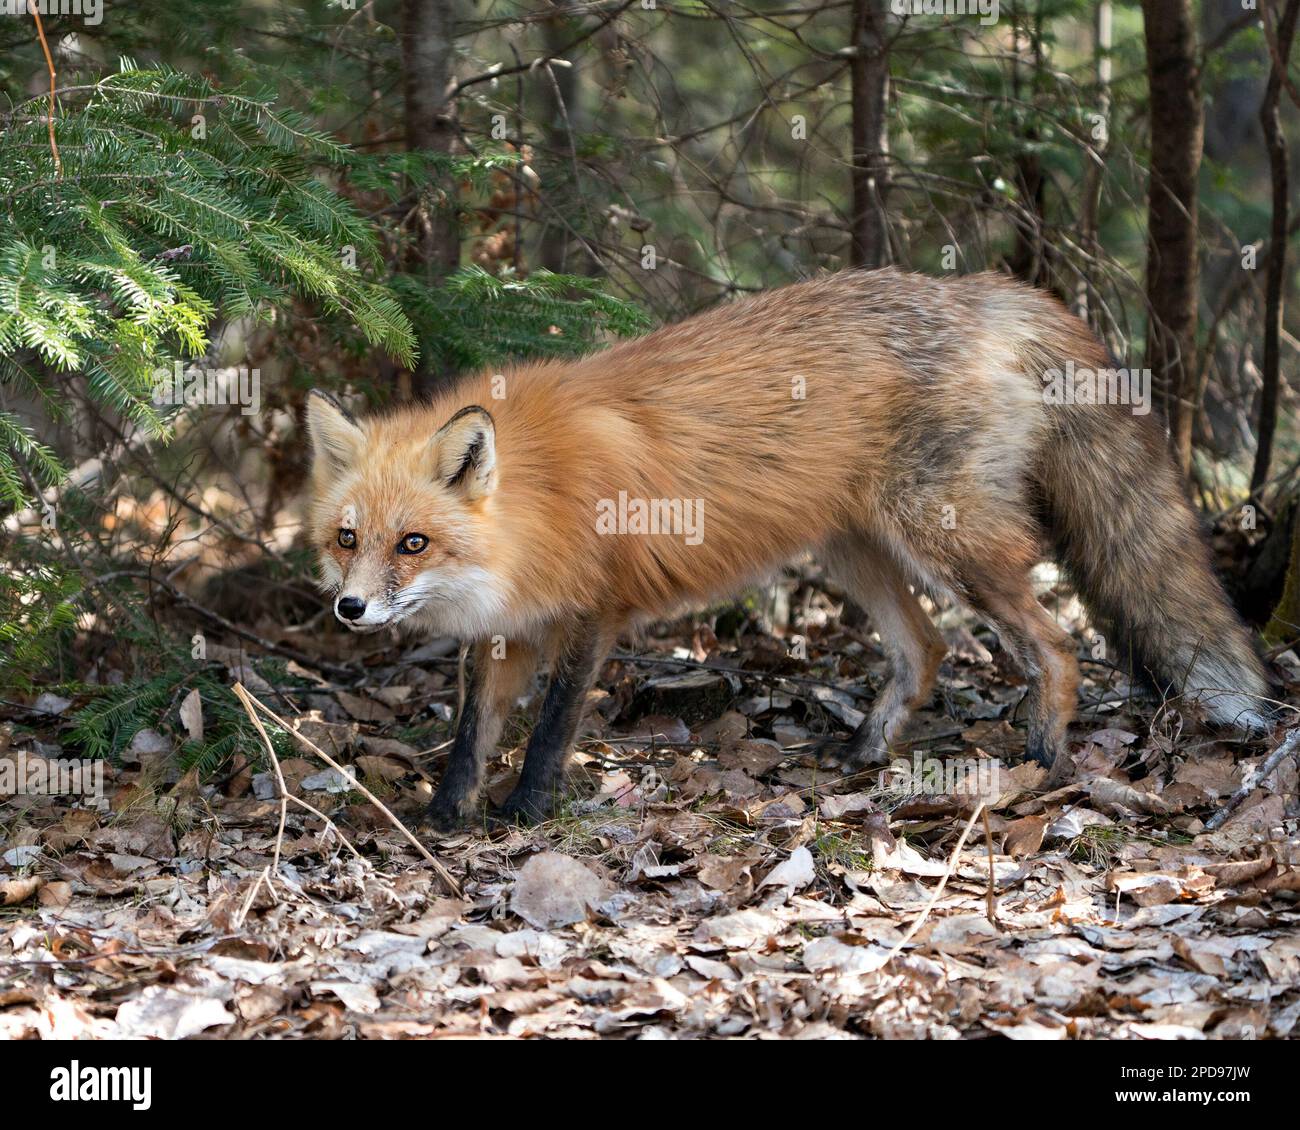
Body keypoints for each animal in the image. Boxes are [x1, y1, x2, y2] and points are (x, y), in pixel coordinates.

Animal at [306, 267, 1268, 827]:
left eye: (414, 542)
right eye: (348, 539)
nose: (350, 608)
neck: (537, 504)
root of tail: (989, 289)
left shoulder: (593, 614)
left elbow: (550, 729)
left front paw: (525, 814)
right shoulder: (506, 631)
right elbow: (470, 736)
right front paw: (444, 818)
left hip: (943, 538)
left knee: (1058, 644)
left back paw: (1042, 758)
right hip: (856, 548)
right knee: (926, 647)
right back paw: (864, 753)